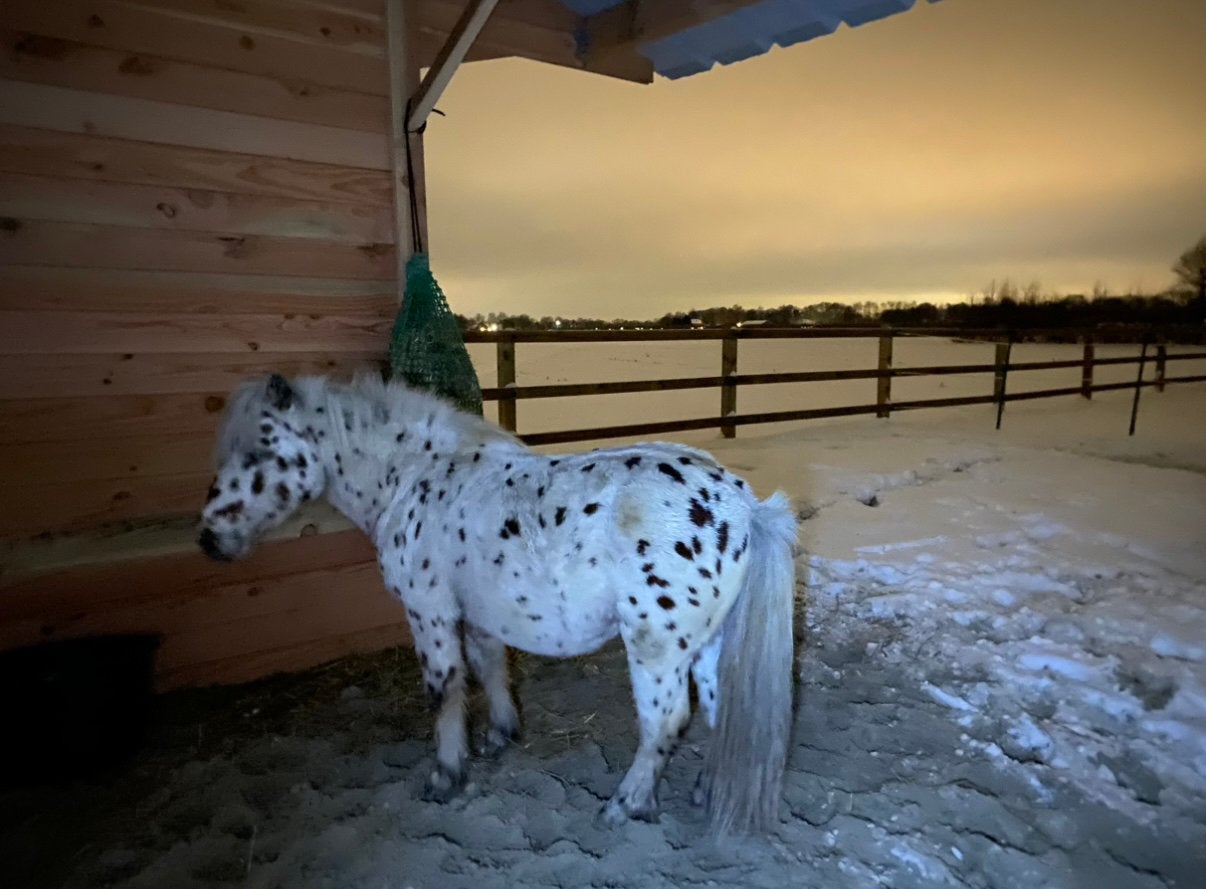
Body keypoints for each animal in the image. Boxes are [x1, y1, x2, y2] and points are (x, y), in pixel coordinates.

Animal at [198, 373, 797, 833]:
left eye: (258, 450)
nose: (209, 540)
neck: (412, 477)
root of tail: (741, 504)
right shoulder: (479, 613)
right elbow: (488, 667)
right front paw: (499, 737)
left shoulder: (430, 611)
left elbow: (443, 689)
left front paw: (445, 775)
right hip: (709, 642)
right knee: (720, 710)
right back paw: (703, 792)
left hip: (656, 647)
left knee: (666, 723)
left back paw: (623, 807)